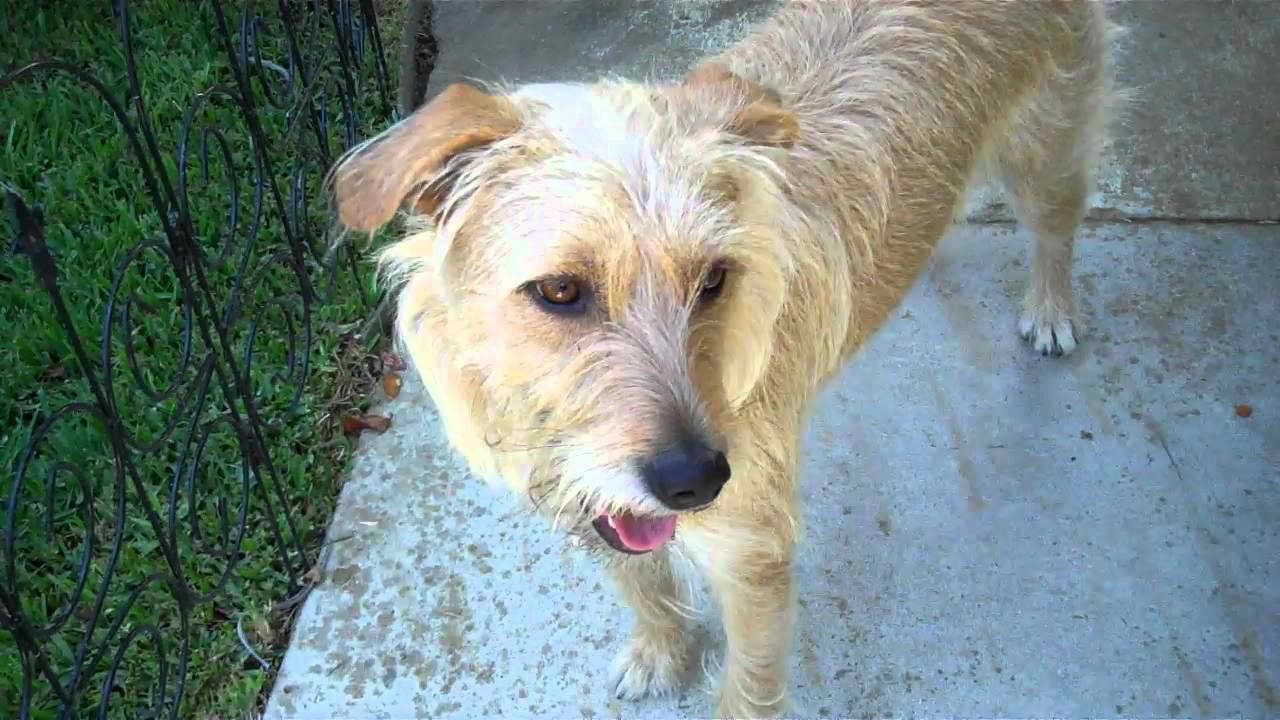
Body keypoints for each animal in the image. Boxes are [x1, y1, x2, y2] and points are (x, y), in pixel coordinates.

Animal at [335, 2, 1116, 712]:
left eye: (714, 278)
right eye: (559, 290)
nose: (696, 482)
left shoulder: (753, 558)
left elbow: (747, 687)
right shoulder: (593, 500)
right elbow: (639, 577)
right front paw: (661, 648)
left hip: (1048, 145)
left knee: (1057, 224)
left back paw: (1051, 307)